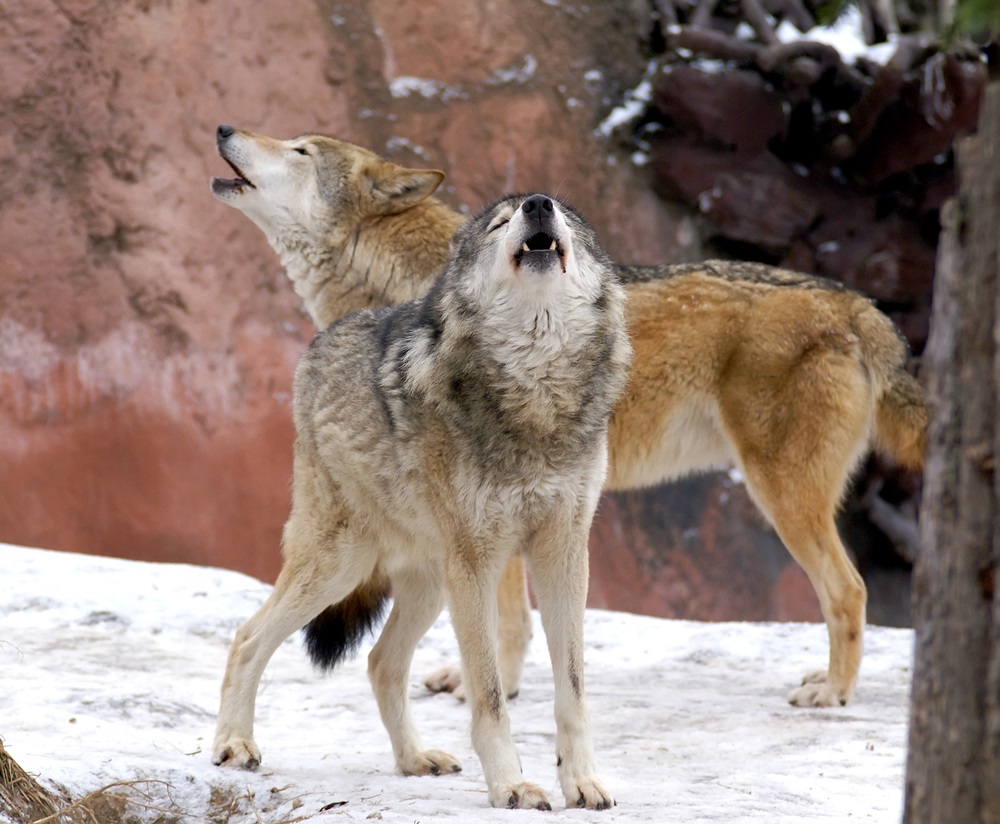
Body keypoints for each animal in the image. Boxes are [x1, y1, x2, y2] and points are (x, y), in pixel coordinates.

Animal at [213, 124, 928, 708]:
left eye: (300, 150)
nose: (223, 128)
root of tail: (855, 303)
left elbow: (507, 619)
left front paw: (493, 686)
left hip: (781, 495)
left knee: (850, 590)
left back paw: (832, 692)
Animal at [214, 192, 628, 812]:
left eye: (564, 217)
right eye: (500, 224)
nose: (537, 204)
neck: (535, 395)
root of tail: (321, 339)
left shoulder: (563, 554)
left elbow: (572, 692)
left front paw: (581, 781)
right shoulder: (478, 564)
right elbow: (489, 696)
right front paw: (510, 786)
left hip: (431, 583)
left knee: (381, 662)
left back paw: (413, 759)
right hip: (344, 567)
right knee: (247, 638)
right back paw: (234, 745)